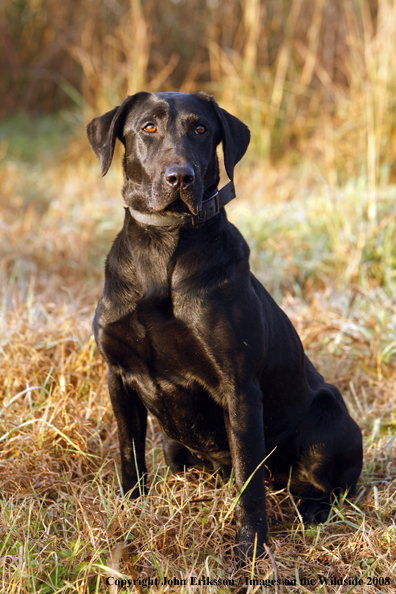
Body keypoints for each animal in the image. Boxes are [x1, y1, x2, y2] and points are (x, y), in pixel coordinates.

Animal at [86, 91, 362, 560]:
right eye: (148, 127)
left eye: (201, 129)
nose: (180, 177)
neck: (163, 245)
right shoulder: (118, 376)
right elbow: (128, 452)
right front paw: (130, 508)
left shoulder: (239, 386)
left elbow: (248, 479)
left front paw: (250, 548)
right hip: (174, 444)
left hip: (330, 419)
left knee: (322, 485)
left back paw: (312, 512)